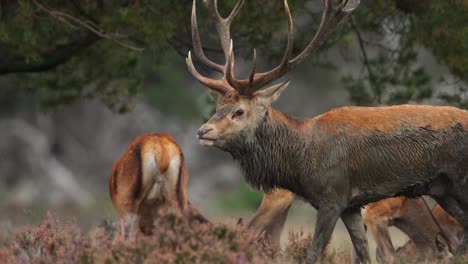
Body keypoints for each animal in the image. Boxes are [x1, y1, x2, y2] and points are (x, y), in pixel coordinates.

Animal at [188, 0, 468, 260]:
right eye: (219, 106)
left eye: (239, 111)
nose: (202, 131)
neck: (301, 160)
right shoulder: (352, 206)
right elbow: (363, 254)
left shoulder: (333, 196)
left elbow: (314, 252)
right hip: (443, 190)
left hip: (460, 181)